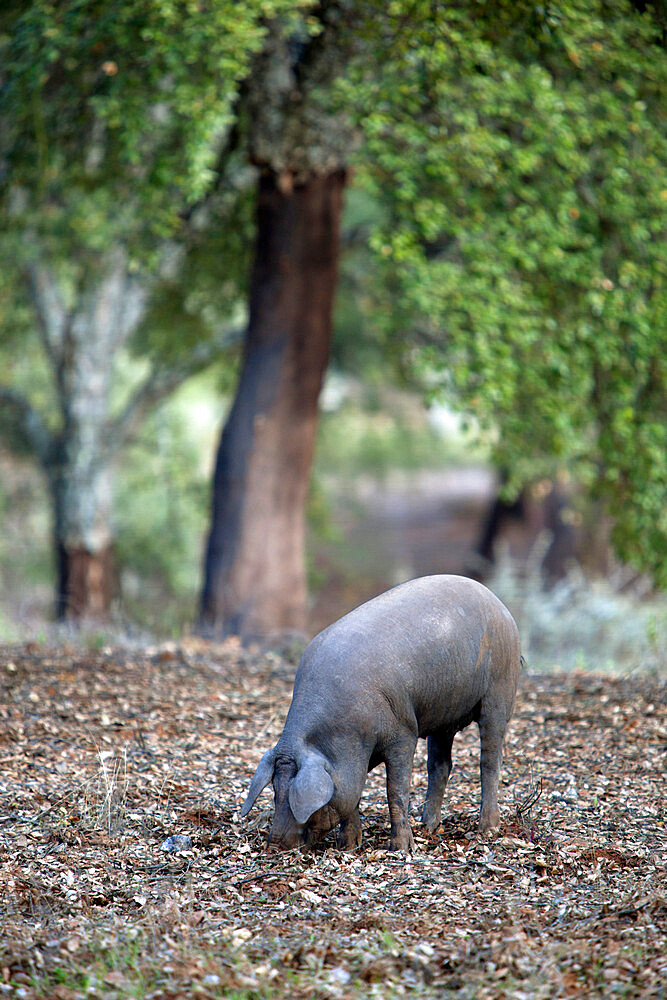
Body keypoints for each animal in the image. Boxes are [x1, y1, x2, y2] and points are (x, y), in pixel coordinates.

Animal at [240, 576, 520, 848]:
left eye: (295, 797)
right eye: (276, 790)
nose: (274, 844)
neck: (342, 736)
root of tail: (499, 603)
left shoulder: (404, 732)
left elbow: (395, 790)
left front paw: (401, 848)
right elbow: (353, 795)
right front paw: (348, 846)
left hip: (501, 687)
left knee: (490, 759)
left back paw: (487, 829)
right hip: (444, 714)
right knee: (440, 765)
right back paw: (428, 826)